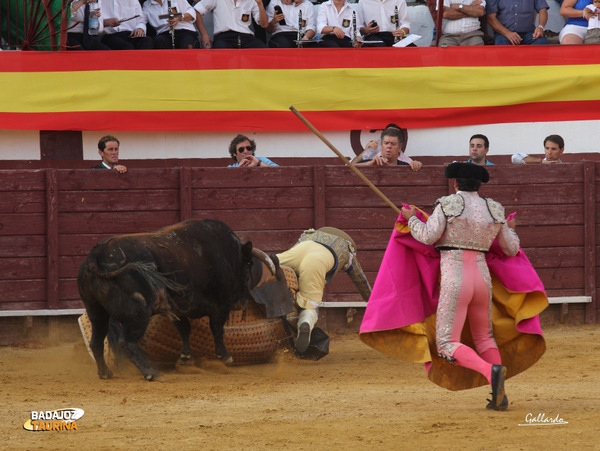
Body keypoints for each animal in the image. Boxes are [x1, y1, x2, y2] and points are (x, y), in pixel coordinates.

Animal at [78, 219, 290, 382]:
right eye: (247, 266)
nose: (240, 302)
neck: (227, 253)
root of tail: (96, 256)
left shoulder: (177, 307)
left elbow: (184, 329)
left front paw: (186, 358)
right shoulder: (220, 306)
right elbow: (217, 328)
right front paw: (225, 357)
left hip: (96, 311)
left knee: (96, 341)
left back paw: (105, 373)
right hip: (140, 313)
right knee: (127, 342)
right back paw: (151, 373)